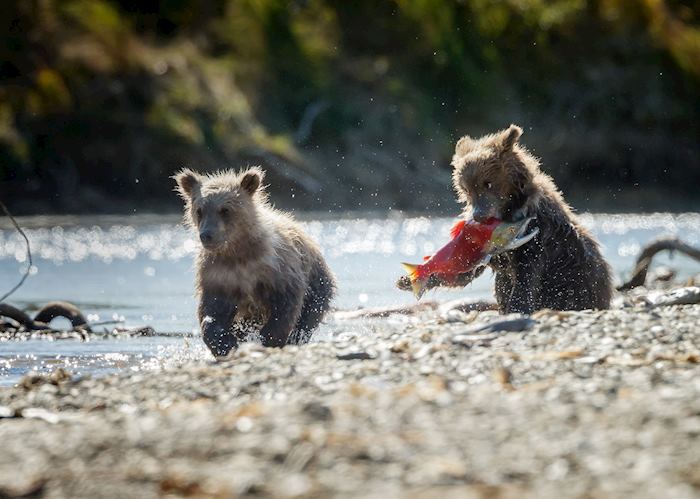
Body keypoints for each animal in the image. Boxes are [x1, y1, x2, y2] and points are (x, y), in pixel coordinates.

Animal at [174, 166, 336, 357]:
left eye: (225, 210)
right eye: (199, 210)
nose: (207, 235)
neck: (239, 252)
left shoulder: (277, 270)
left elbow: (285, 305)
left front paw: (268, 338)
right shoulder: (219, 274)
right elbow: (213, 311)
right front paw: (224, 343)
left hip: (318, 282)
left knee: (308, 317)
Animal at [448, 124, 613, 314]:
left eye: (488, 183)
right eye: (466, 189)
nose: (478, 215)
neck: (512, 211)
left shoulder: (537, 239)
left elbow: (525, 277)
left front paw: (517, 308)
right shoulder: (496, 249)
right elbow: (477, 266)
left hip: (579, 283)